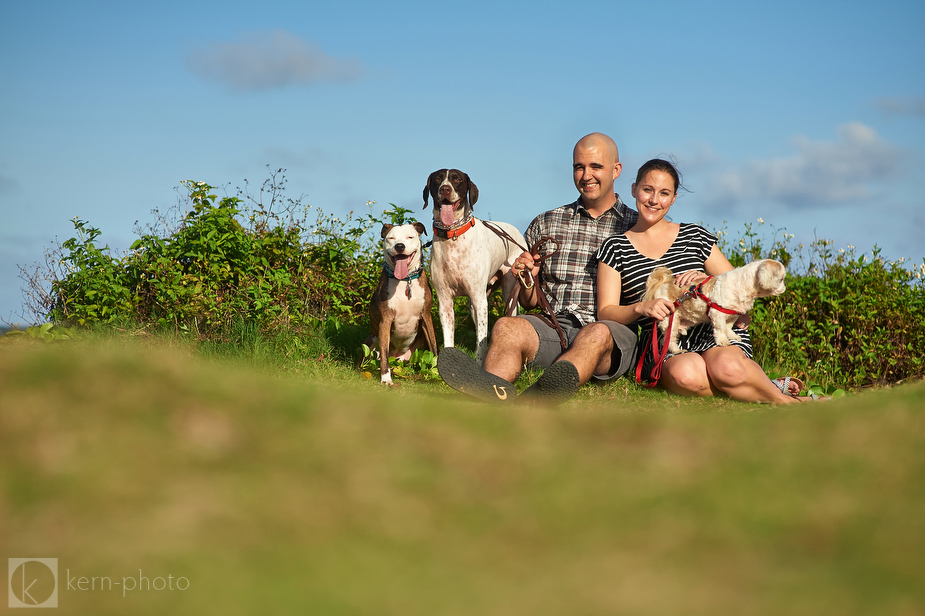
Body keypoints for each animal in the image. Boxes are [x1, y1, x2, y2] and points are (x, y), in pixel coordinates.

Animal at [366, 221, 438, 384]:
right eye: (391, 238)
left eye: (410, 237)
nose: (399, 246)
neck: (405, 280)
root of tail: (397, 360)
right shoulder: (385, 321)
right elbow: (384, 353)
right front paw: (386, 379)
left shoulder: (426, 316)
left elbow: (434, 346)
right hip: (371, 338)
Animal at [422, 167, 524, 360]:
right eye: (438, 178)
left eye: (457, 179)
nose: (445, 189)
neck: (452, 235)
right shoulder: (445, 301)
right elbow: (449, 339)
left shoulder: (479, 299)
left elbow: (481, 342)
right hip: (475, 304)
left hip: (509, 293)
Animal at [644, 258, 788, 354]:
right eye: (781, 279)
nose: (784, 288)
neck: (742, 285)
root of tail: (662, 283)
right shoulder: (717, 313)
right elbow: (720, 329)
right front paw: (723, 341)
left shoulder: (732, 313)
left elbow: (728, 327)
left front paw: (732, 336)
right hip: (670, 319)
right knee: (670, 339)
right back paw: (676, 350)